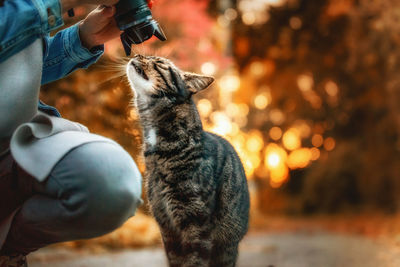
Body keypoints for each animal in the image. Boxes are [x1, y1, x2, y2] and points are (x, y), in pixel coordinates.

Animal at [126, 55, 248, 267]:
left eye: (158, 62)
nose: (136, 54)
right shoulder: (167, 226)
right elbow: (176, 259)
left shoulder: (197, 223)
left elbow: (194, 260)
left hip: (226, 246)